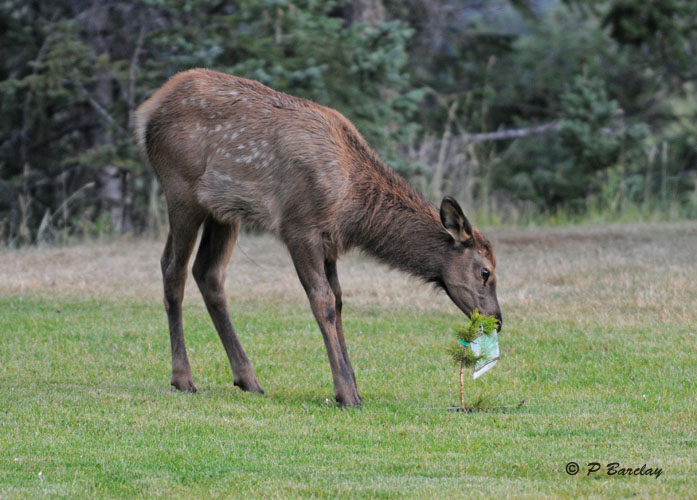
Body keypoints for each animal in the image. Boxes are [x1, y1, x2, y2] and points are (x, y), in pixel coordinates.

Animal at [133, 69, 498, 406]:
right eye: (486, 272)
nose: (497, 319)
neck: (353, 206)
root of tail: (145, 112)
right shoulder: (299, 227)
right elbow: (322, 301)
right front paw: (345, 393)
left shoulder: (329, 242)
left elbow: (338, 300)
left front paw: (353, 386)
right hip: (181, 189)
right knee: (173, 269)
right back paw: (183, 378)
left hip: (223, 211)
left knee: (207, 272)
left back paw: (247, 378)